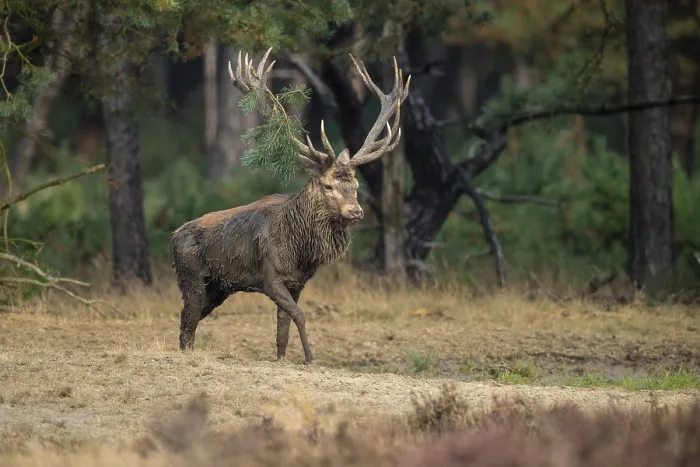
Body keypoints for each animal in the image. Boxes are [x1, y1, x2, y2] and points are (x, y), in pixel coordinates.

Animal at [171, 47, 410, 364]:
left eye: (356, 186)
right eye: (328, 186)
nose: (355, 211)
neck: (301, 250)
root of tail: (172, 237)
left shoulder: (297, 282)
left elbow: (283, 328)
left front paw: (283, 358)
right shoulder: (271, 277)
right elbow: (300, 316)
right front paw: (310, 357)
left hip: (218, 287)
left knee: (192, 318)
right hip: (191, 276)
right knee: (187, 318)